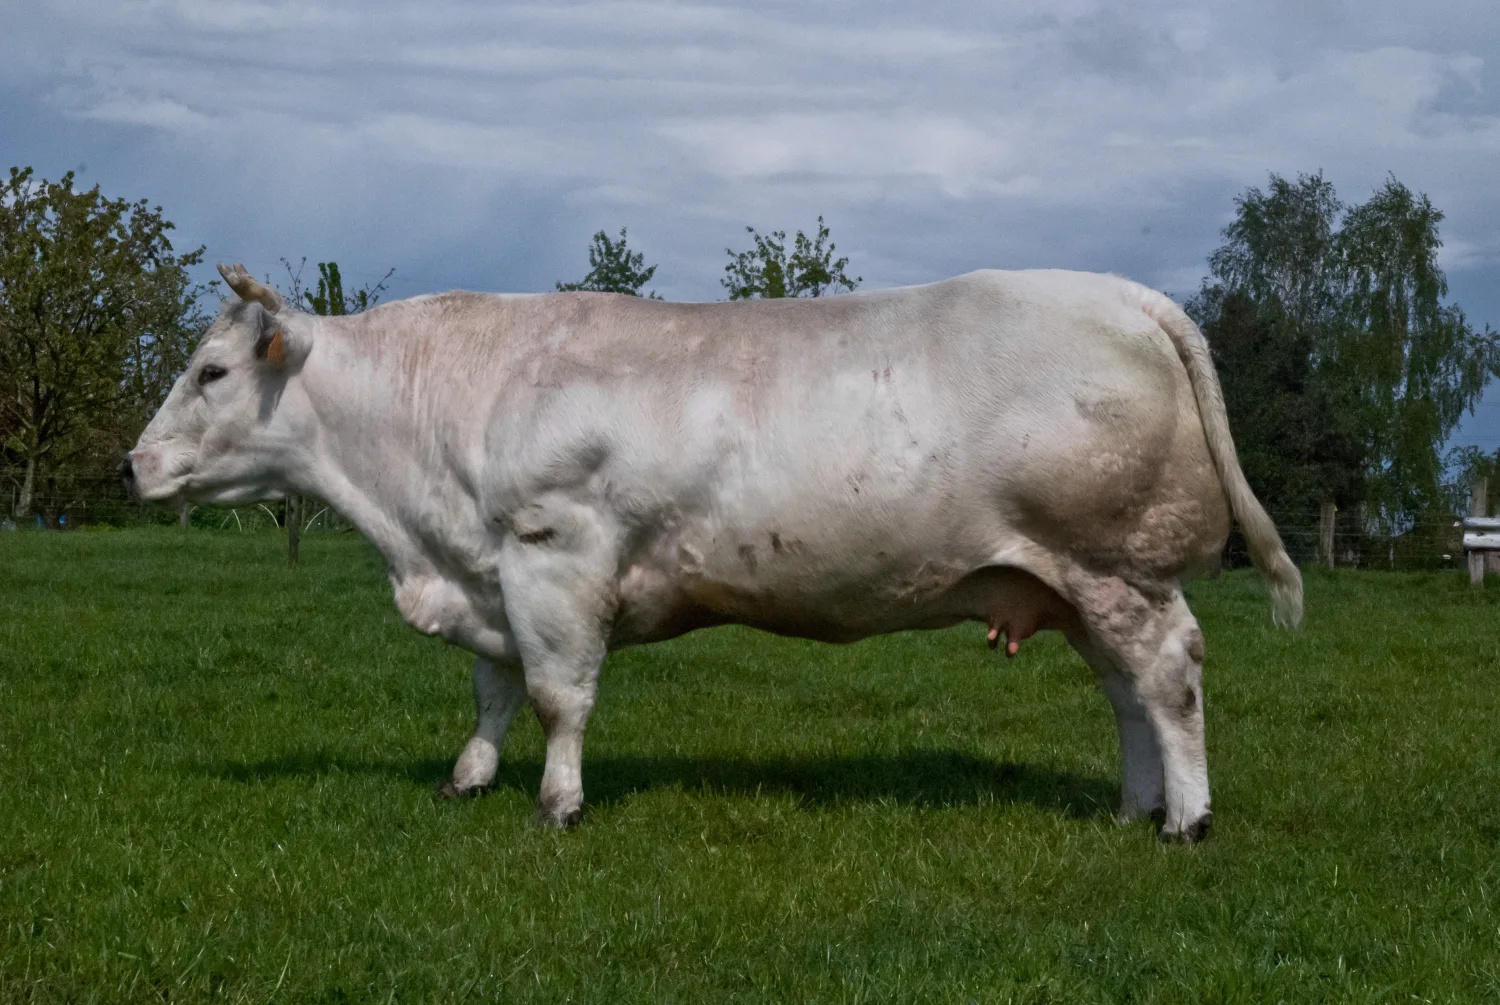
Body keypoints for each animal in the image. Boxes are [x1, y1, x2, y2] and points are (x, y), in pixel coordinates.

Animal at [126, 262, 1301, 843]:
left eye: (212, 371)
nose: (133, 466)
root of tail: (1128, 295)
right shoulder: (491, 574)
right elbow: (492, 692)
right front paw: (468, 779)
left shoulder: (555, 556)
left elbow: (556, 696)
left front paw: (558, 804)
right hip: (1082, 583)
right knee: (1126, 693)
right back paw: (1135, 807)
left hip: (1122, 567)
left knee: (1169, 678)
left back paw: (1187, 819)